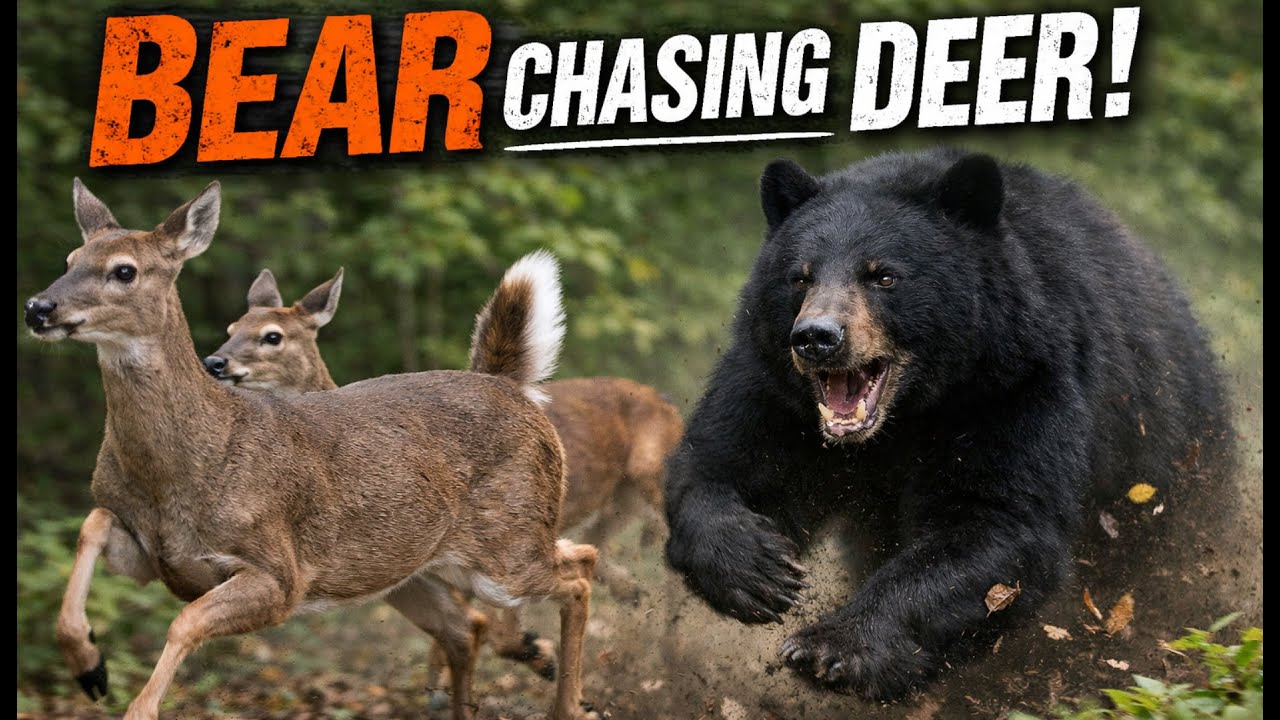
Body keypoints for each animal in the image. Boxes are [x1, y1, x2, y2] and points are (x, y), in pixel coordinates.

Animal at [23, 179, 600, 720]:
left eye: (124, 271)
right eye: (70, 259)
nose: (37, 306)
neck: (181, 471)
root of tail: (509, 386)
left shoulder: (282, 573)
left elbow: (185, 622)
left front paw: (135, 705)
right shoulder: (156, 558)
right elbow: (93, 524)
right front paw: (89, 665)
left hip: (506, 550)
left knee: (578, 572)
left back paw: (569, 704)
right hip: (410, 572)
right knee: (469, 625)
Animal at [204, 266, 686, 691]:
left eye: (273, 335)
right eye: (232, 326)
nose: (214, 361)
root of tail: (662, 399)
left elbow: (493, 628)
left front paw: (536, 655)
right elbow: (469, 630)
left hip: (645, 485)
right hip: (612, 506)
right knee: (608, 553)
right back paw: (636, 609)